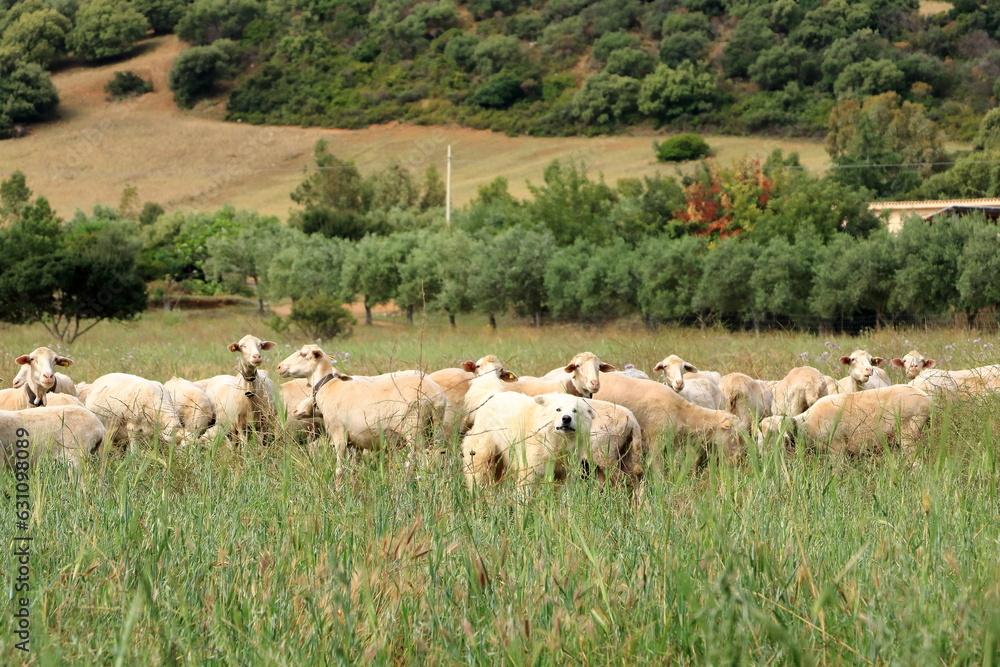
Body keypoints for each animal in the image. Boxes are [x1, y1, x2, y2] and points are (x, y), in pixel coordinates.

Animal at [278, 344, 447, 479]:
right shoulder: (355, 441)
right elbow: (354, 470)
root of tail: (436, 395)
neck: (329, 386)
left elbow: (340, 470)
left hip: (414, 428)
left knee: (422, 461)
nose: (278, 367)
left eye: (302, 354)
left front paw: (339, 492)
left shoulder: (339, 433)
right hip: (435, 428)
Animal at [461, 392, 595, 491]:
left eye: (575, 410)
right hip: (486, 448)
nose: (566, 419)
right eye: (558, 409)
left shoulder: (564, 469)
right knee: (479, 474)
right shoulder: (531, 464)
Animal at [758, 385, 932, 457]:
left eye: (772, 436)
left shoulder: (837, 447)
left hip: (909, 431)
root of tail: (927, 399)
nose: (761, 458)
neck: (806, 426)